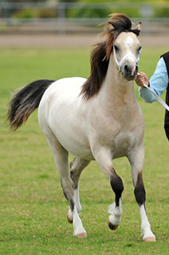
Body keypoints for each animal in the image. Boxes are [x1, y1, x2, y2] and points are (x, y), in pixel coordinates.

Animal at [7, 13, 156, 241]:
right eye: (116, 47)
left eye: (139, 47)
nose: (130, 69)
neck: (117, 111)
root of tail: (52, 85)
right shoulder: (103, 153)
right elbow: (117, 183)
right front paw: (113, 220)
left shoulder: (136, 151)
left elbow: (139, 190)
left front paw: (147, 233)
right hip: (57, 147)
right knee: (67, 183)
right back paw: (78, 228)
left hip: (84, 153)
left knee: (73, 173)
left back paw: (73, 212)